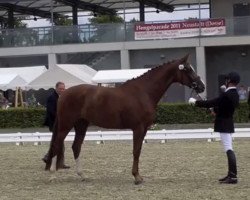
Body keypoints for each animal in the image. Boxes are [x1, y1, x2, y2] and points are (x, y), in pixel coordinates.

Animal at [45, 54, 205, 184]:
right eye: (187, 69)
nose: (201, 87)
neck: (143, 92)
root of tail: (64, 94)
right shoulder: (138, 128)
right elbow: (136, 151)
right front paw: (136, 177)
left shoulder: (144, 129)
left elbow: (138, 151)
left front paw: (138, 176)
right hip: (66, 125)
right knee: (57, 144)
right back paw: (52, 175)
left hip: (81, 125)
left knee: (76, 146)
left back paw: (82, 175)